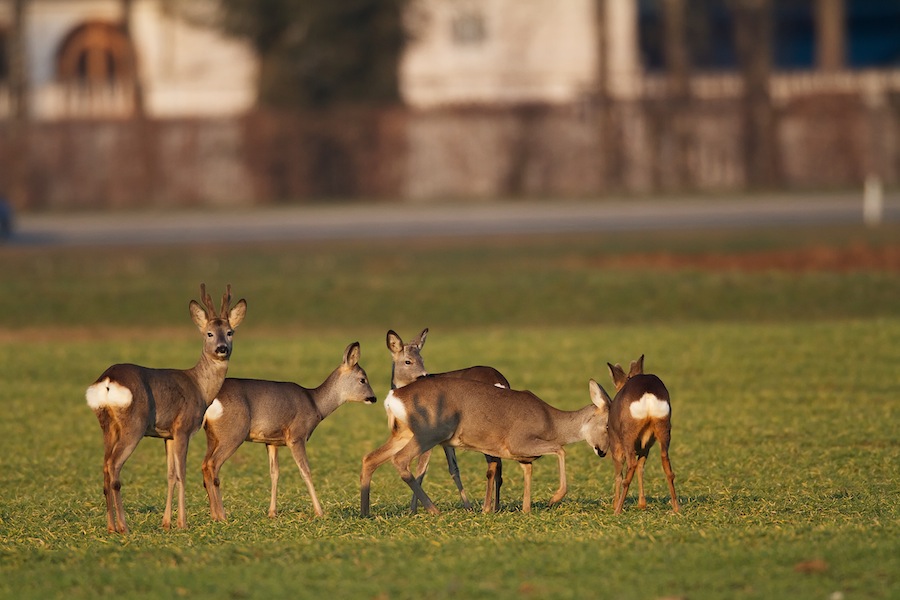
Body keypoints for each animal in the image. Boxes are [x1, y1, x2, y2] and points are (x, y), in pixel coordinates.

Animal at [85, 284, 246, 532]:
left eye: (230, 332)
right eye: (209, 333)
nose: (222, 349)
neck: (200, 387)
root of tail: (108, 380)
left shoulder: (167, 435)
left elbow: (170, 475)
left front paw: (167, 522)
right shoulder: (182, 429)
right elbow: (182, 474)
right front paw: (182, 523)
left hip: (107, 425)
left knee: (104, 467)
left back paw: (111, 527)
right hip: (134, 425)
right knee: (113, 466)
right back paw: (124, 526)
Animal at [201, 342, 376, 520]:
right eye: (363, 379)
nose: (373, 398)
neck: (316, 404)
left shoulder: (271, 441)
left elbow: (274, 473)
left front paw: (272, 512)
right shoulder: (296, 436)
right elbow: (305, 471)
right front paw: (319, 512)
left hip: (212, 436)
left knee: (204, 465)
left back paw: (214, 514)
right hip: (233, 433)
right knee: (212, 465)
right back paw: (221, 516)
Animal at [358, 378, 612, 516]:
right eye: (608, 425)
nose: (603, 451)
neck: (551, 421)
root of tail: (393, 397)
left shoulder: (521, 454)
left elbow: (528, 470)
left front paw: (526, 509)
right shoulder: (519, 441)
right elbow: (561, 449)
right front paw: (554, 498)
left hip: (404, 433)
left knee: (370, 458)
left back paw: (365, 512)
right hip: (430, 432)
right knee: (400, 460)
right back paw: (434, 510)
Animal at [386, 330, 512, 512]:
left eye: (422, 359)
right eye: (408, 361)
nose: (423, 376)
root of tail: (499, 381)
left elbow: (421, 469)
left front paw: (413, 510)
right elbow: (453, 468)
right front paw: (467, 507)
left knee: (493, 464)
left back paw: (486, 508)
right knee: (499, 465)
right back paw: (495, 507)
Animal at [600, 356, 680, 516]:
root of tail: (647, 393)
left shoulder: (615, 444)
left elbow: (618, 474)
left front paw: (614, 504)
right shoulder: (646, 446)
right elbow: (641, 468)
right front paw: (642, 504)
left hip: (627, 435)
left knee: (630, 466)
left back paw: (618, 509)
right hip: (664, 429)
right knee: (666, 466)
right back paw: (676, 508)